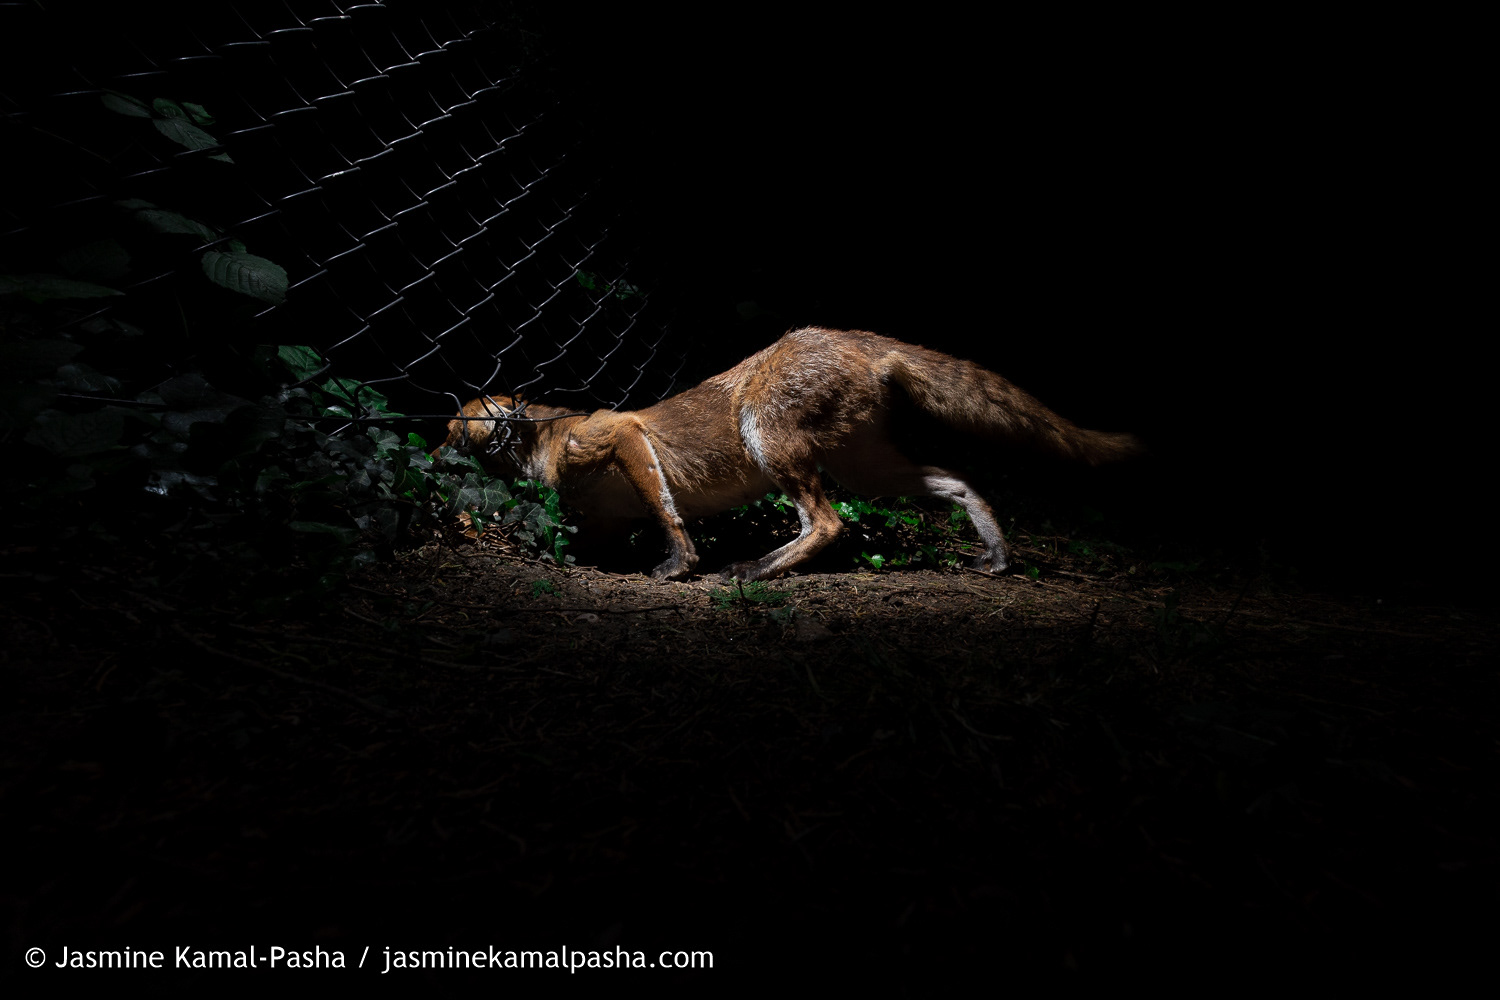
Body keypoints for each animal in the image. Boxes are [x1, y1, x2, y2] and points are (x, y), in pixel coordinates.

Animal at [436, 327, 1140, 582]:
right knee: (957, 479)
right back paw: (996, 552)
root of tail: (852, 336)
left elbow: (667, 516)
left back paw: (755, 570)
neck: (548, 448)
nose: (435, 455)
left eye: (449, 431)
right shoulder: (605, 512)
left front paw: (681, 565)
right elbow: (599, 535)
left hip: (767, 437)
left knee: (827, 523)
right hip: (865, 469)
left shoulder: (622, 438)